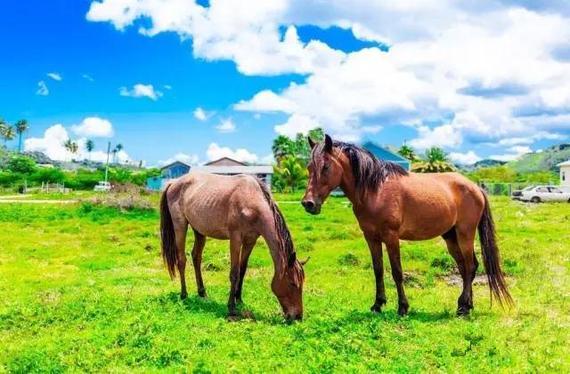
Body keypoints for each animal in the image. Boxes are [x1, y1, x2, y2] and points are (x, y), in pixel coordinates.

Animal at [160, 172, 304, 322]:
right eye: (292, 283)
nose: (298, 316)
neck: (252, 200)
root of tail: (173, 182)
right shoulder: (235, 239)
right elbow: (234, 273)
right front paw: (231, 307)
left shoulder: (250, 240)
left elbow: (242, 270)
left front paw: (239, 299)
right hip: (180, 226)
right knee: (182, 260)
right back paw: (184, 294)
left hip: (199, 230)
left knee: (196, 257)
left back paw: (202, 293)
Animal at [302, 134, 510, 316]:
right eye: (309, 167)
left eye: (326, 166)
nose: (308, 204)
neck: (375, 190)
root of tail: (476, 188)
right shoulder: (371, 238)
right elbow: (378, 270)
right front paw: (378, 304)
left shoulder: (391, 237)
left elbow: (397, 272)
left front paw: (402, 307)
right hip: (450, 236)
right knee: (464, 268)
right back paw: (465, 305)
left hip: (465, 233)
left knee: (470, 266)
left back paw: (464, 308)